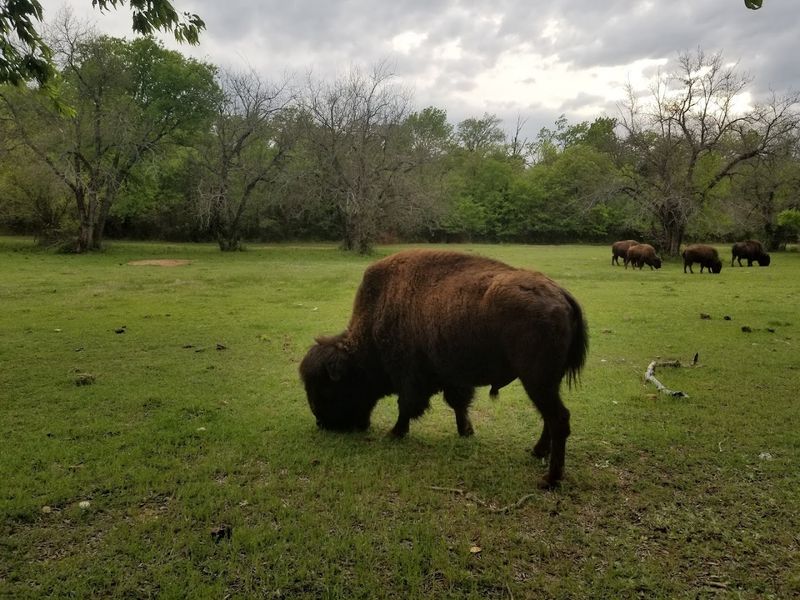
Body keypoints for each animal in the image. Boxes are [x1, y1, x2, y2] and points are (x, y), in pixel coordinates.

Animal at [299, 250, 588, 487]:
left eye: (326, 387)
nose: (322, 423)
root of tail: (562, 295)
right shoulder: (452, 378)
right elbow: (458, 404)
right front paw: (466, 432)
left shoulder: (410, 379)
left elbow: (406, 407)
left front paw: (395, 433)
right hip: (547, 383)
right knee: (550, 418)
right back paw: (538, 452)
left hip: (537, 381)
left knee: (558, 419)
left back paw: (550, 479)